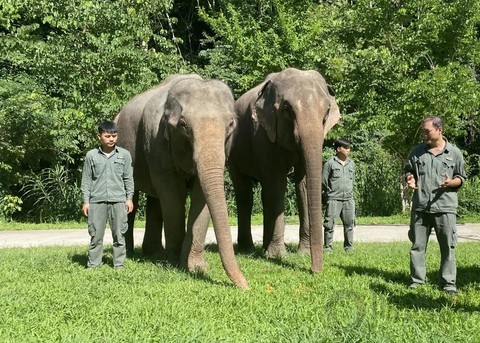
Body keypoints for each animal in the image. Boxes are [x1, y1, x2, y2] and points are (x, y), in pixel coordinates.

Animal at [115, 75, 248, 290]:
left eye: (230, 124)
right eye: (184, 125)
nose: (246, 285)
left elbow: (200, 196)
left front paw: (196, 267)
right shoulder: (156, 142)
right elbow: (173, 194)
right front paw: (174, 263)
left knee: (155, 201)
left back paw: (154, 254)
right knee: (133, 200)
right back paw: (131, 253)